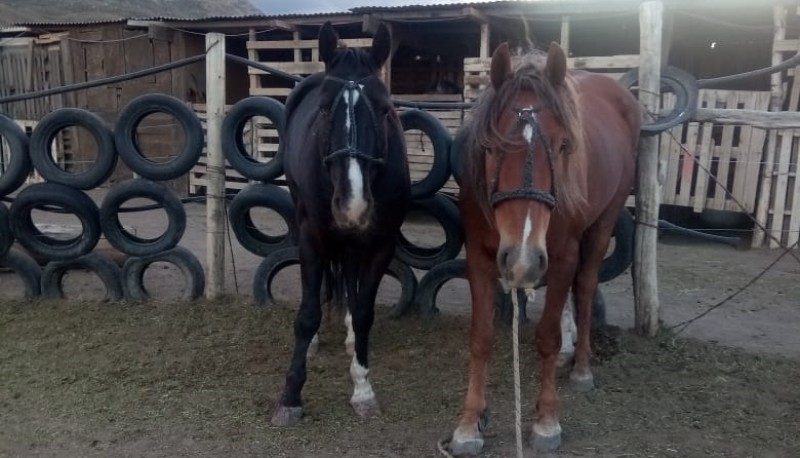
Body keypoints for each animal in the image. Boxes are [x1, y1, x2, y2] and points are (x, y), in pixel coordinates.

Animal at [270, 23, 410, 428]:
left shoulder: (380, 244)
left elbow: (364, 312)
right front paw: (290, 397)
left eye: (384, 109)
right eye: (323, 108)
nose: (353, 203)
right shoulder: (312, 239)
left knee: (348, 276)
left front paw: (363, 390)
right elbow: (307, 315)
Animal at [450, 42, 644, 454]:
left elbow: (547, 337)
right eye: (490, 147)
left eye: (562, 145)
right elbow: (481, 337)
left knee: (584, 287)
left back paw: (582, 365)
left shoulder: (562, 257)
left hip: (603, 222)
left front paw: (546, 420)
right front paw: (470, 422)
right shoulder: (479, 258)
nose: (522, 260)